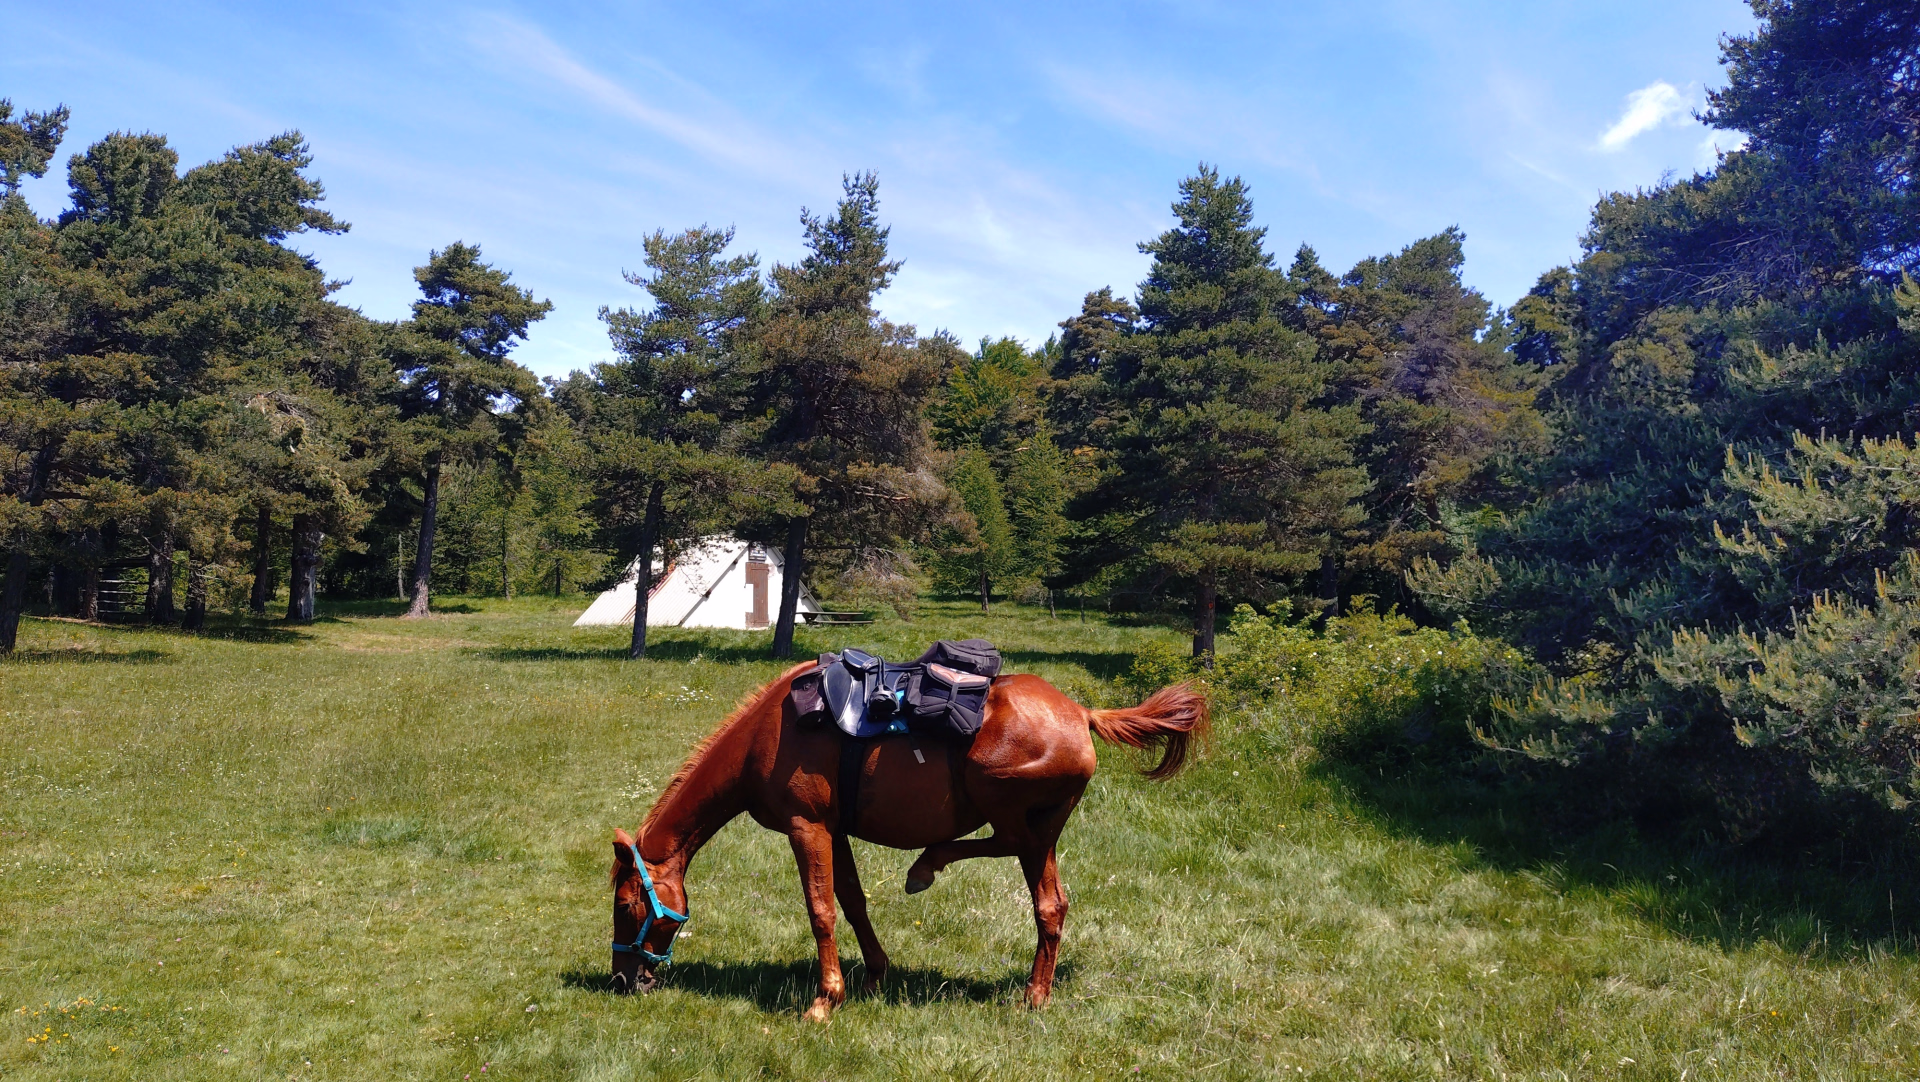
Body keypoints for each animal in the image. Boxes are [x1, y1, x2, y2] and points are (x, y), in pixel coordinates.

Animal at [608, 661, 1207, 1021]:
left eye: (625, 905)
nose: (622, 980)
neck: (769, 732)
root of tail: (1082, 712)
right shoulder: (834, 830)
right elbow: (852, 901)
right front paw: (874, 975)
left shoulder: (807, 828)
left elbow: (820, 910)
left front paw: (825, 1001)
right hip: (1042, 829)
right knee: (1052, 906)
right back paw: (1036, 991)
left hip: (1013, 813)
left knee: (1006, 853)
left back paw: (930, 871)